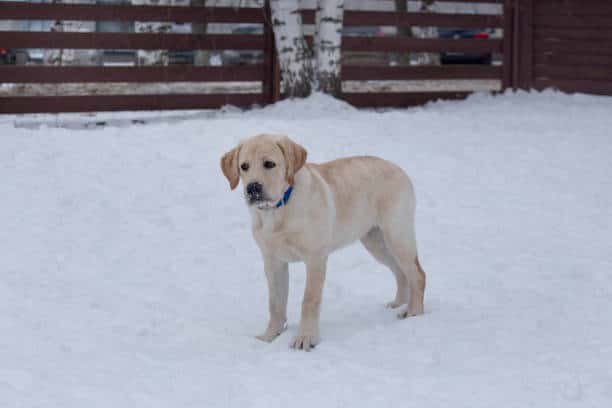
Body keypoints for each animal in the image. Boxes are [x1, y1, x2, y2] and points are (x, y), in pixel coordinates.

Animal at [221, 135, 426, 350]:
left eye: (269, 164)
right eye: (244, 166)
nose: (252, 188)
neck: (278, 210)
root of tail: (399, 168)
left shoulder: (315, 258)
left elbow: (309, 300)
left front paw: (305, 338)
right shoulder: (273, 261)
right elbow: (275, 303)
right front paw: (270, 336)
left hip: (397, 235)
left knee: (418, 274)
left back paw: (413, 312)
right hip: (375, 241)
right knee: (401, 273)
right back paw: (398, 304)